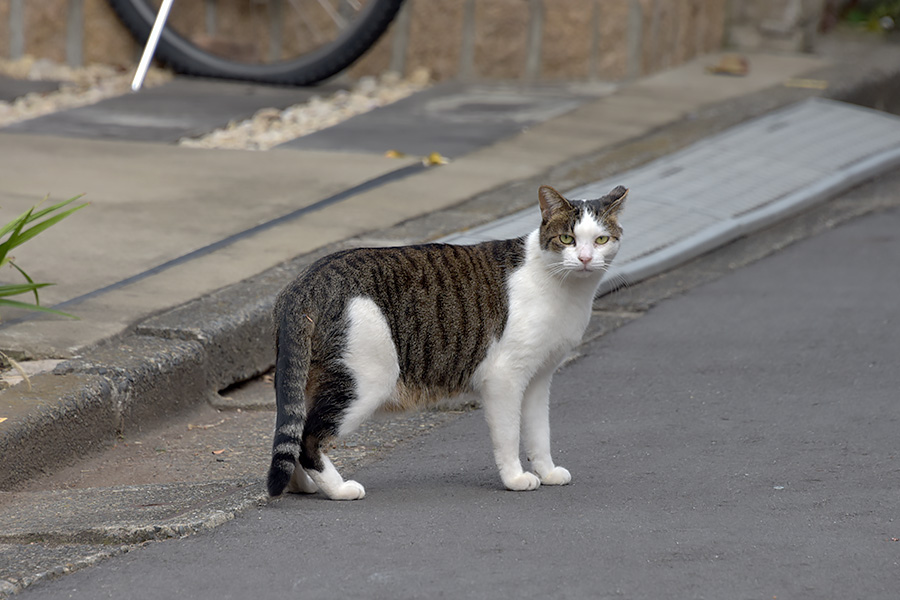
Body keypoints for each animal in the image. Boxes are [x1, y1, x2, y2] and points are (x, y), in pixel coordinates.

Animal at [268, 185, 628, 500]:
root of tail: (306, 281)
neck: (564, 289)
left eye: (601, 239)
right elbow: (509, 435)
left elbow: (540, 433)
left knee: (294, 430)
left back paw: (302, 486)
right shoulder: (505, 377)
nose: (585, 259)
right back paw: (338, 489)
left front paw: (548, 472)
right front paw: (515, 479)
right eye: (567, 239)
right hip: (365, 380)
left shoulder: (540, 377)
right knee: (308, 438)